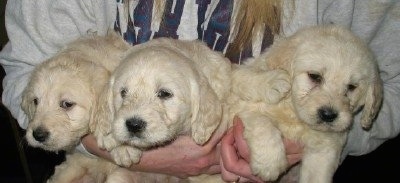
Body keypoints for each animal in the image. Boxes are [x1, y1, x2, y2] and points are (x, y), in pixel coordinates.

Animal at [230, 25, 382, 182]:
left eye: (352, 87)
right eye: (315, 76)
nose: (328, 115)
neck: (295, 117)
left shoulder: (323, 151)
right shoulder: (242, 108)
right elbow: (262, 121)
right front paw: (269, 163)